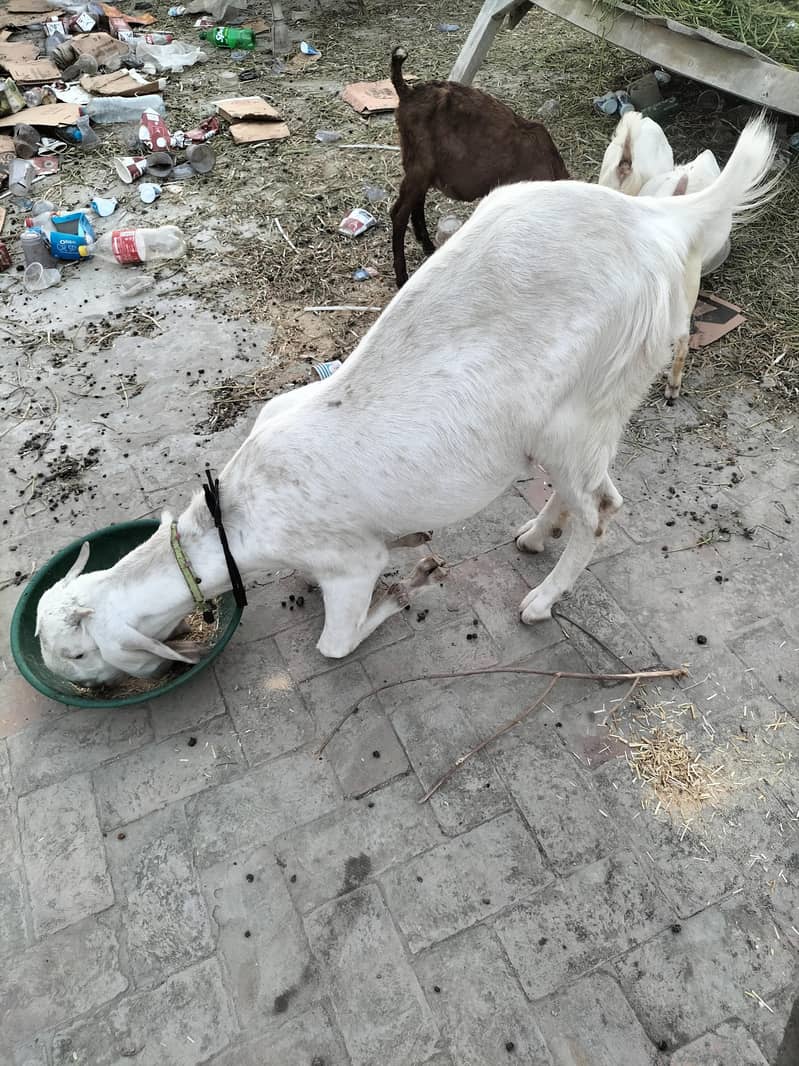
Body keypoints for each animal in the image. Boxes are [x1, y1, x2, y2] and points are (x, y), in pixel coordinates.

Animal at [36, 117, 777, 687]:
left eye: (77, 656)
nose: (86, 689)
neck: (239, 515)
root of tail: (660, 218)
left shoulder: (344, 563)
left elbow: (337, 639)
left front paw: (411, 579)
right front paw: (415, 544)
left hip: (587, 401)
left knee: (601, 509)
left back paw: (540, 600)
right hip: (591, 408)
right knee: (585, 491)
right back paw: (536, 535)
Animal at [389, 45, 569, 287]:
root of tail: (407, 91)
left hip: (419, 164)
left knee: (416, 201)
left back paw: (427, 246)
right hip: (420, 164)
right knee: (398, 214)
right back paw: (402, 277)